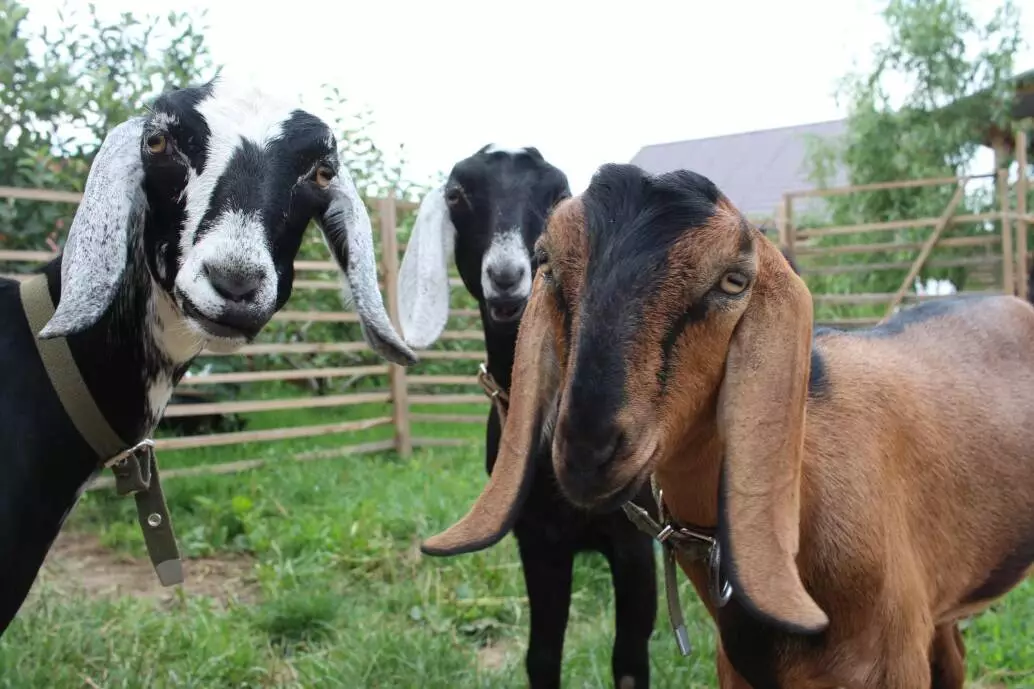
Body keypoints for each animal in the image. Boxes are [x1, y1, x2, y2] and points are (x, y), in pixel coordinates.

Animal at [397, 146, 658, 689]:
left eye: (558, 194)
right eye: (458, 194)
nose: (506, 275)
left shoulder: (634, 542)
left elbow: (629, 659)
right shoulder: (537, 539)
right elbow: (541, 655)